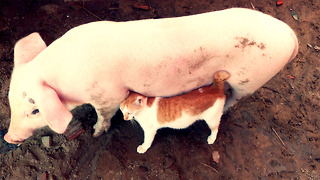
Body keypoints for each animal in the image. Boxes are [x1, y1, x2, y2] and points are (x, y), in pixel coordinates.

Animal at [3, 8, 298, 143]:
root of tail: (291, 36)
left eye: (34, 111)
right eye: (10, 102)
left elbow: (105, 115)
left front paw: (96, 134)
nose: (8, 138)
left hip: (250, 81)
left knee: (234, 98)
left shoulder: (109, 95)